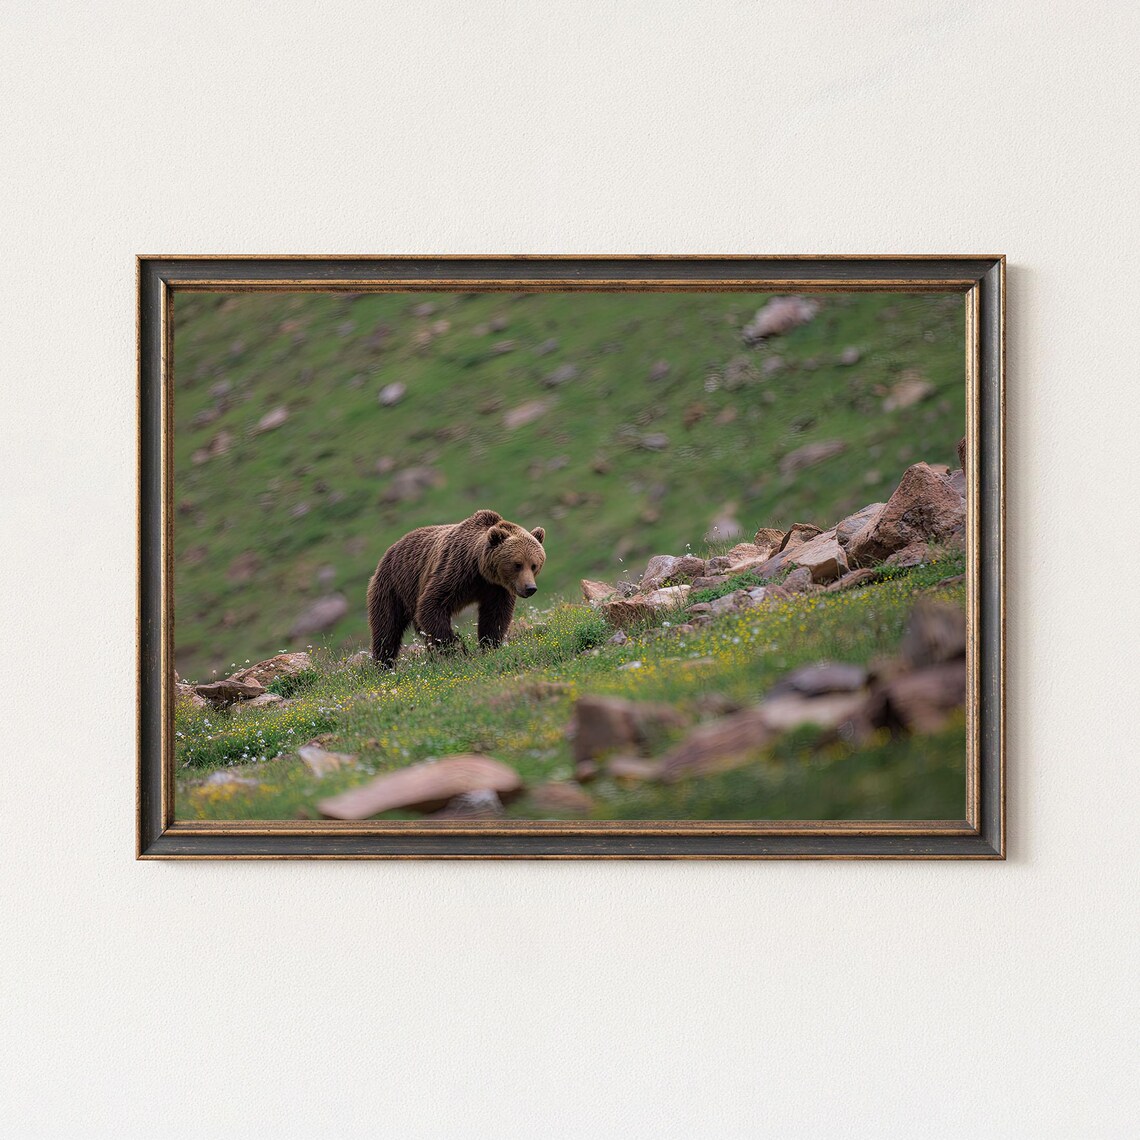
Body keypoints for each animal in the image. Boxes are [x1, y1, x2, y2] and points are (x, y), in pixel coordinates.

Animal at [366, 508, 546, 667]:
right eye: (517, 564)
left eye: (534, 565)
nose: (530, 588)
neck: (481, 571)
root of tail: (390, 549)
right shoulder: (456, 571)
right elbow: (431, 604)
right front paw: (455, 646)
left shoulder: (497, 588)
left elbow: (495, 615)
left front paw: (490, 645)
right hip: (393, 587)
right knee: (387, 628)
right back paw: (383, 664)